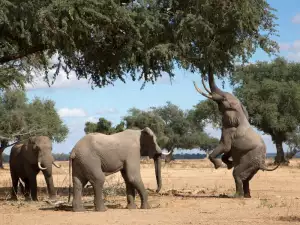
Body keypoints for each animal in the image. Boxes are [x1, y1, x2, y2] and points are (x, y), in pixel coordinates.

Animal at [193, 65, 280, 197]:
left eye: (224, 99)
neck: (240, 111)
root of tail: (262, 163)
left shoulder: (229, 131)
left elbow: (225, 147)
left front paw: (220, 165)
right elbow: (228, 151)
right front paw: (229, 164)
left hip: (250, 160)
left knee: (237, 174)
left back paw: (236, 196)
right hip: (253, 164)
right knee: (246, 179)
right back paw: (247, 196)